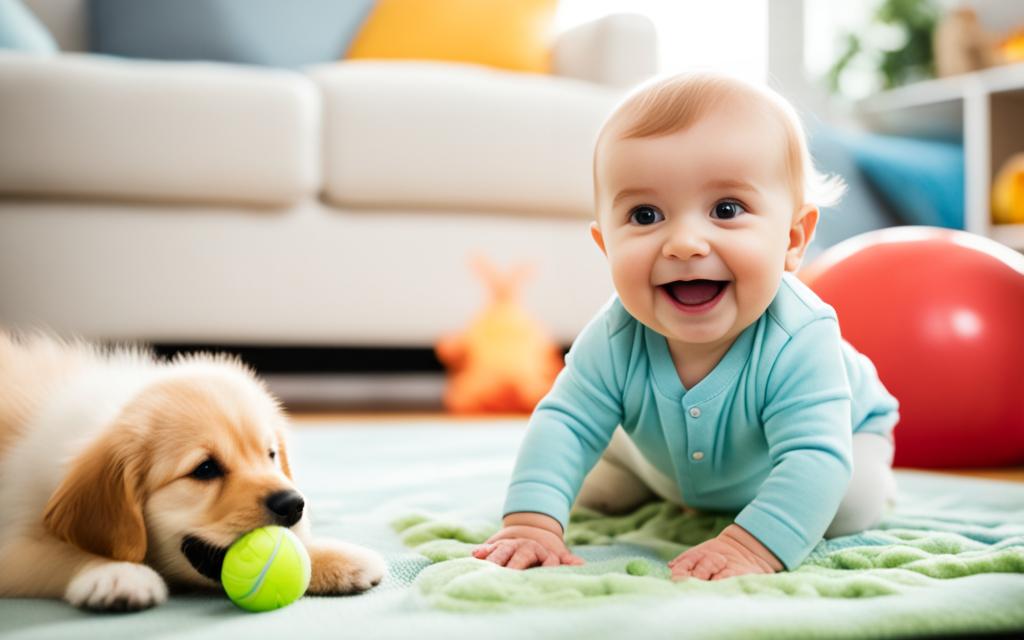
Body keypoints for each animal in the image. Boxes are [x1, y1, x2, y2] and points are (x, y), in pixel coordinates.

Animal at [0, 331, 385, 610]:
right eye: (205, 469)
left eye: (270, 455)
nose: (293, 504)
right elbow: (60, 553)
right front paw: (116, 572)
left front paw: (333, 557)